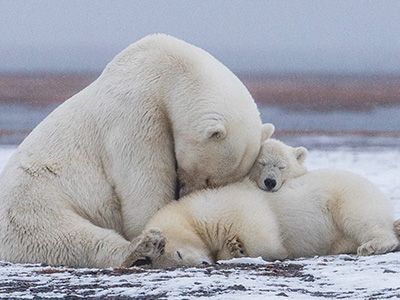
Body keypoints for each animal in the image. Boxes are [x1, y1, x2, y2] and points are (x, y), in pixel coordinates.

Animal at [0, 34, 266, 268]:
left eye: (216, 183)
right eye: (210, 179)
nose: (186, 195)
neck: (165, 73)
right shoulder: (135, 113)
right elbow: (145, 184)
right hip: (32, 199)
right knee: (60, 235)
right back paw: (140, 248)